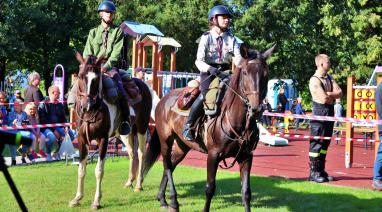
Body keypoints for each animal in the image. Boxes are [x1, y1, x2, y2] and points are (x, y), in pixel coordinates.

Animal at [68, 53, 152, 210]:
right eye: (81, 76)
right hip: (126, 133)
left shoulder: (103, 140)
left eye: (96, 79)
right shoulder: (82, 140)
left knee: (141, 153)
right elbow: (81, 169)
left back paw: (138, 184)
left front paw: (96, 201)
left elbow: (99, 171)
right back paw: (129, 181)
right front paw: (77, 198)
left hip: (142, 127)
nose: (86, 106)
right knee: (131, 153)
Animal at [144, 45, 274, 211]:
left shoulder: (246, 157)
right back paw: (173, 200)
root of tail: (163, 100)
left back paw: (162, 199)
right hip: (166, 139)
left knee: (171, 165)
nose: (256, 108)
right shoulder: (213, 156)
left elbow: (246, 192)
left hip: (182, 146)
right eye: (245, 72)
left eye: (266, 74)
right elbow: (209, 189)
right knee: (167, 165)